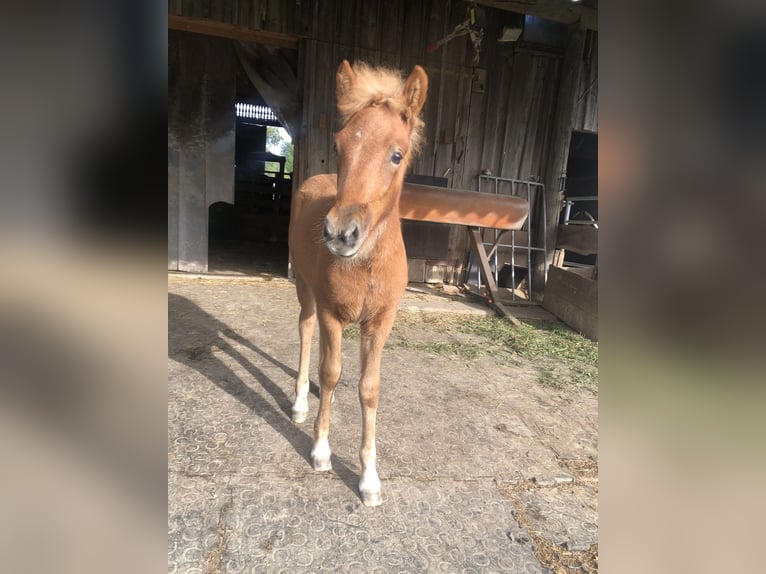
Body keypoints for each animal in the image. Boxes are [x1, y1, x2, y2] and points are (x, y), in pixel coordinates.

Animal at [288, 60, 428, 507]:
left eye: (396, 155)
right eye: (339, 145)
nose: (340, 234)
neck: (366, 266)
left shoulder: (379, 323)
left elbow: (369, 389)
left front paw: (369, 479)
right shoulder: (333, 314)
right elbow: (332, 371)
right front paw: (320, 450)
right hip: (305, 290)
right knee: (306, 330)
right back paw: (300, 400)